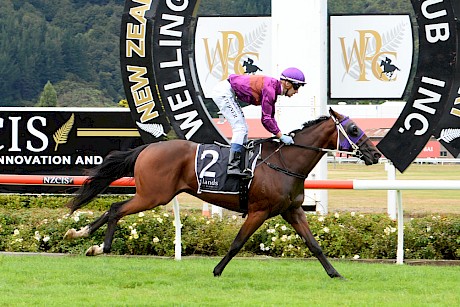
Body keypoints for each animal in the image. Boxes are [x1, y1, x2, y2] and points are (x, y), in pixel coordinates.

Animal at [64, 109, 380, 280]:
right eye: (353, 128)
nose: (376, 154)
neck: (285, 162)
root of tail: (148, 148)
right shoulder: (259, 211)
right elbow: (237, 243)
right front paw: (217, 270)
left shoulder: (292, 210)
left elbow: (314, 245)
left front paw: (336, 274)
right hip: (154, 195)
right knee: (116, 208)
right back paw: (95, 244)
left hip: (153, 195)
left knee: (113, 208)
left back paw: (84, 238)